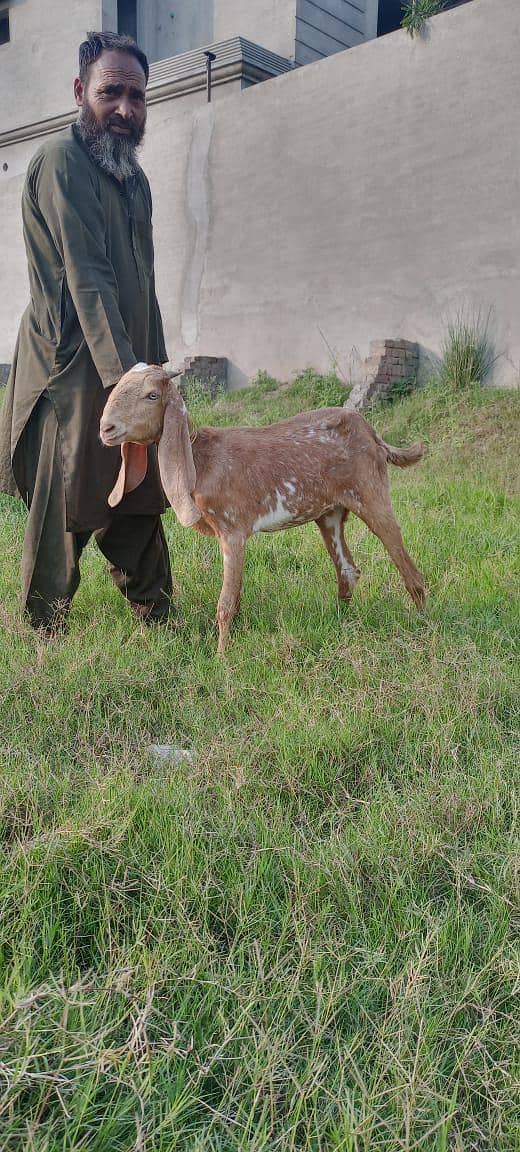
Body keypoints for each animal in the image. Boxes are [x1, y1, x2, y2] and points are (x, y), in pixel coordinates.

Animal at [100, 365, 426, 652]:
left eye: (152, 395)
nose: (106, 428)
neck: (202, 457)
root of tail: (371, 432)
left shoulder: (232, 530)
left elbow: (226, 602)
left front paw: (222, 657)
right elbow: (236, 595)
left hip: (371, 493)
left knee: (407, 565)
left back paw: (423, 622)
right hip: (329, 513)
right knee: (348, 570)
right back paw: (343, 623)